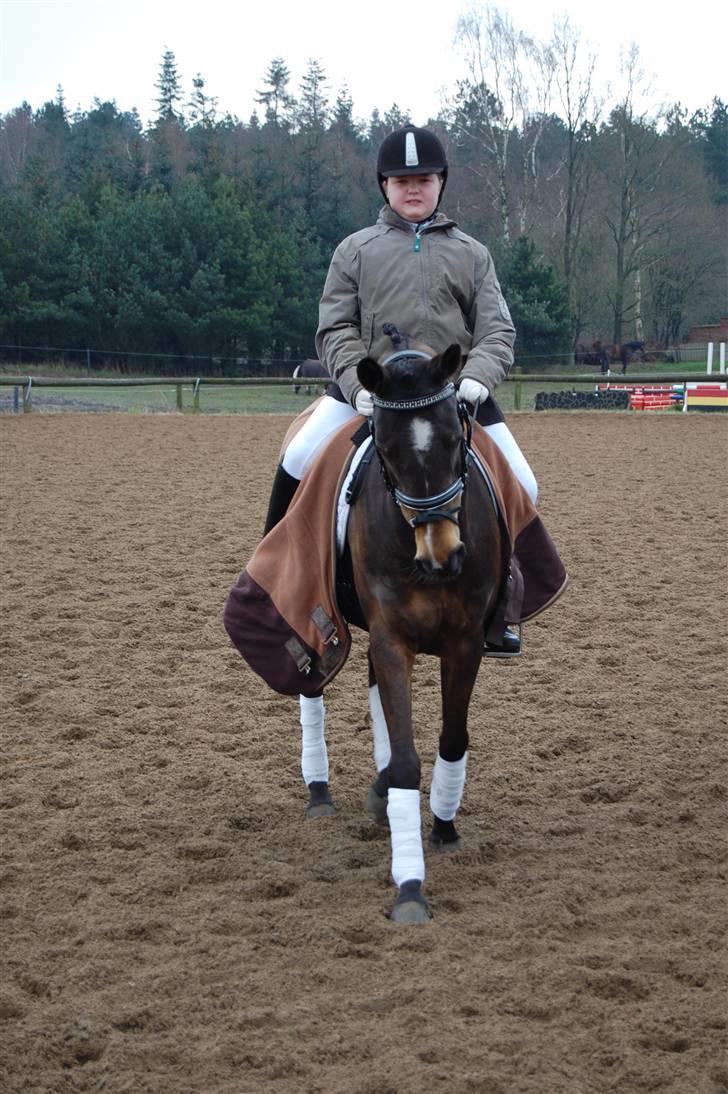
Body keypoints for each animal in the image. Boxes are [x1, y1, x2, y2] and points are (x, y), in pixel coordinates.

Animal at [324, 343, 505, 923]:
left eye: (454, 436)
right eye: (384, 446)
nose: (442, 555)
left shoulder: (466, 643)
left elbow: (452, 737)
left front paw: (444, 825)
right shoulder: (391, 641)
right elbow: (405, 759)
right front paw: (409, 884)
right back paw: (320, 792)